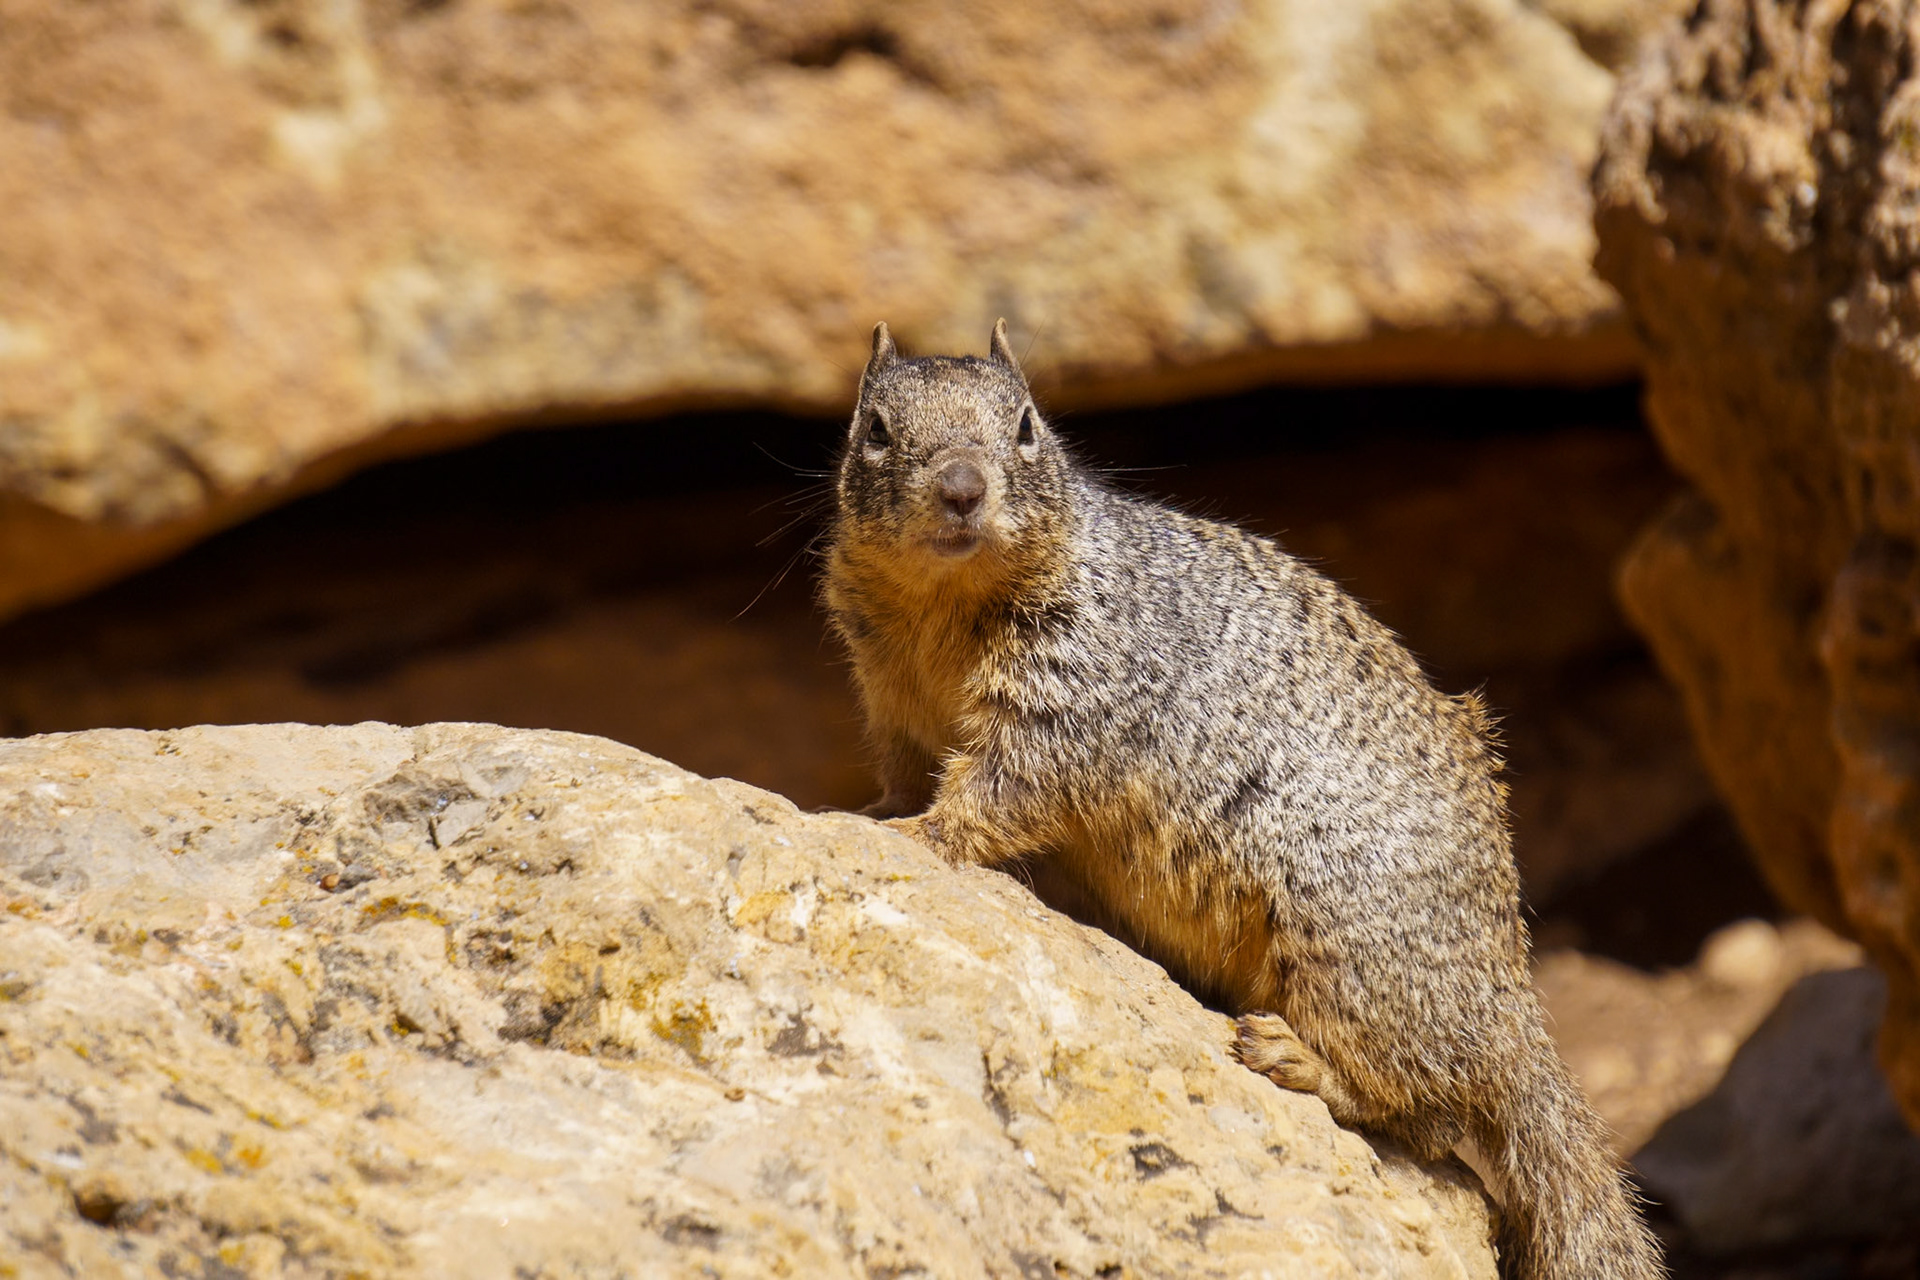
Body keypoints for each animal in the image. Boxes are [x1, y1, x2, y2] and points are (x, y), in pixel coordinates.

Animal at [821, 320, 1664, 1280]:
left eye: (1028, 425)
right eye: (874, 429)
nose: (963, 488)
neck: (941, 609)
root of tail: (1512, 1004)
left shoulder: (1073, 695)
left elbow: (1009, 784)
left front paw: (927, 832)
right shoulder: (889, 698)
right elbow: (902, 768)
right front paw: (874, 810)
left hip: (1348, 950)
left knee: (1427, 1107)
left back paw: (1295, 1058)